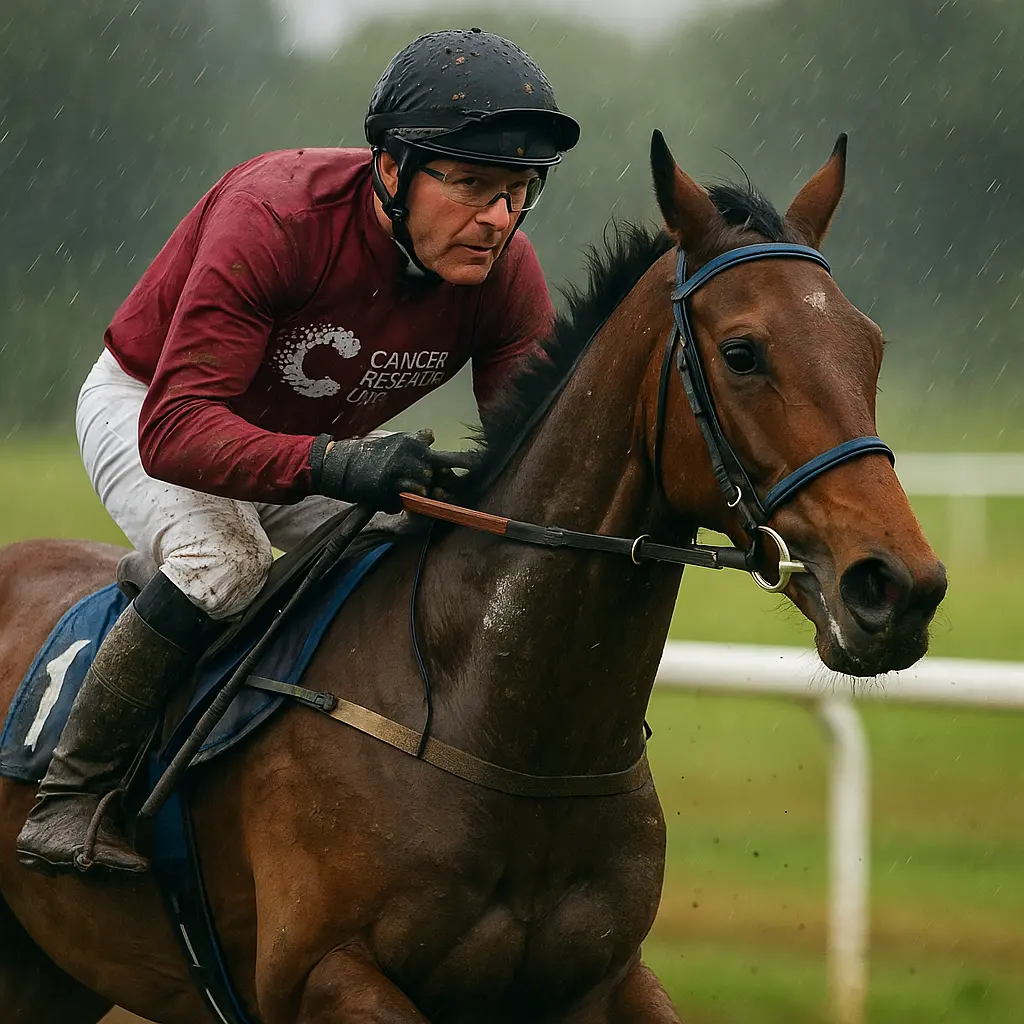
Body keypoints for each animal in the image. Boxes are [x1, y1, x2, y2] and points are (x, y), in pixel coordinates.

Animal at [0, 131, 946, 1023]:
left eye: (870, 347)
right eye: (744, 352)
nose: (899, 587)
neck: (500, 726)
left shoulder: (604, 980)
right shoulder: (320, 979)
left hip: (53, 977)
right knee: (214, 564)